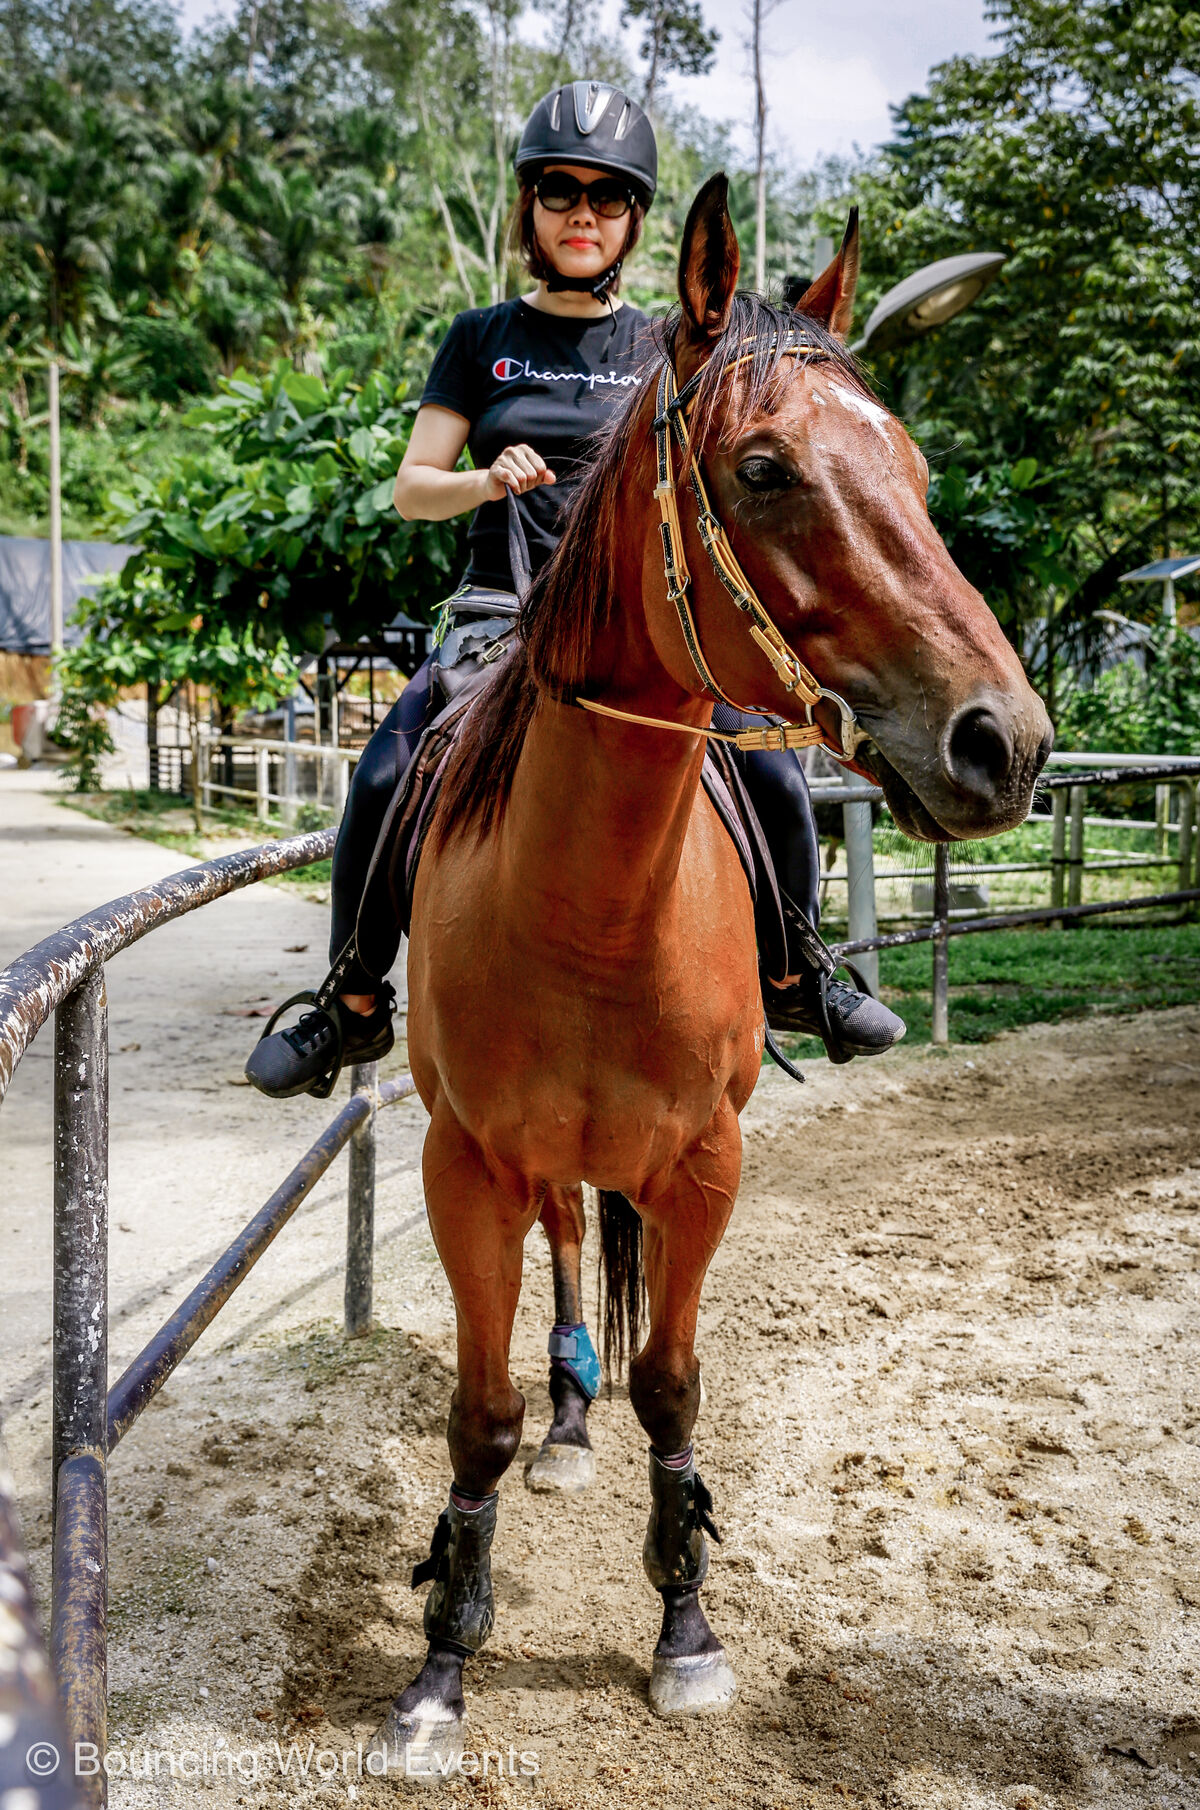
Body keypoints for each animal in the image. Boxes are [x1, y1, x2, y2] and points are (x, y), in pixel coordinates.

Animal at [367, 173, 1051, 1773]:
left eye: (913, 464)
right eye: (762, 468)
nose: (1006, 741)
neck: (592, 902)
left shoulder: (705, 1157)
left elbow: (675, 1385)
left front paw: (685, 1625)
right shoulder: (463, 1163)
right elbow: (478, 1412)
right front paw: (441, 1660)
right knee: (567, 1243)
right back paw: (566, 1426)